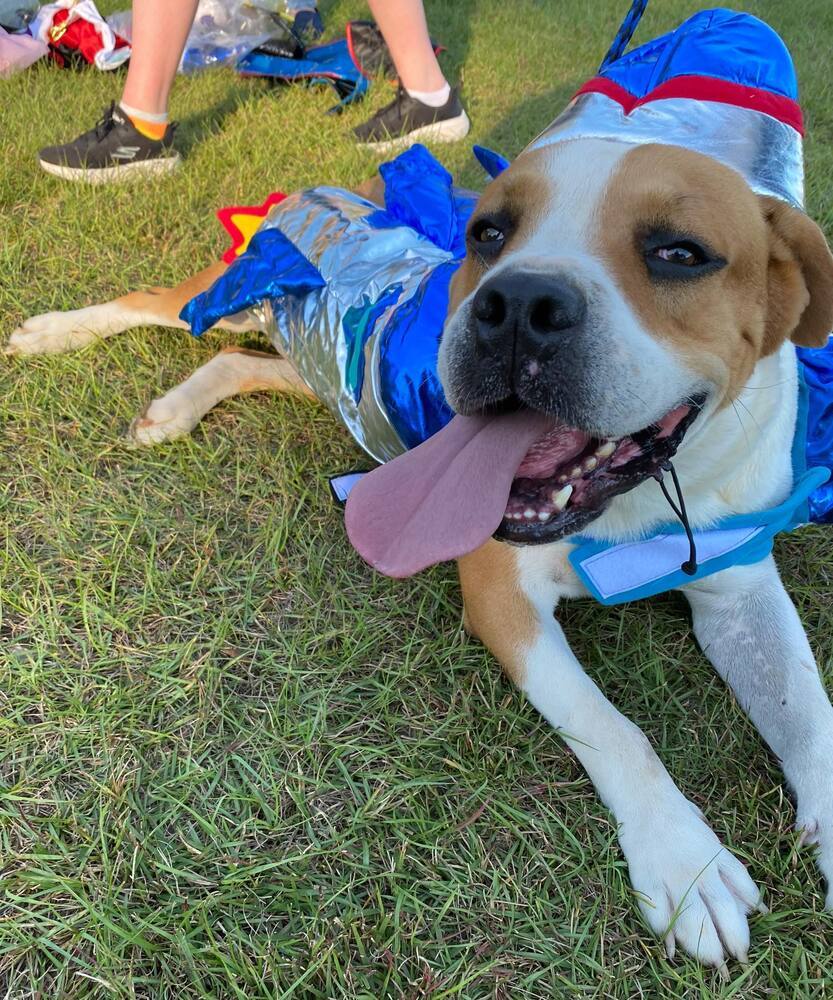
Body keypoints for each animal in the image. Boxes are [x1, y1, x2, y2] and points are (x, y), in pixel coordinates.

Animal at [9, 3, 832, 972]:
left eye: (679, 253)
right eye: (488, 234)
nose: (516, 304)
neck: (645, 500)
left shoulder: (739, 588)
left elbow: (808, 711)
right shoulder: (501, 595)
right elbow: (614, 726)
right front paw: (685, 862)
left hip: (326, 371)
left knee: (235, 362)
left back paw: (176, 406)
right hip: (235, 298)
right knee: (148, 303)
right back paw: (54, 333)